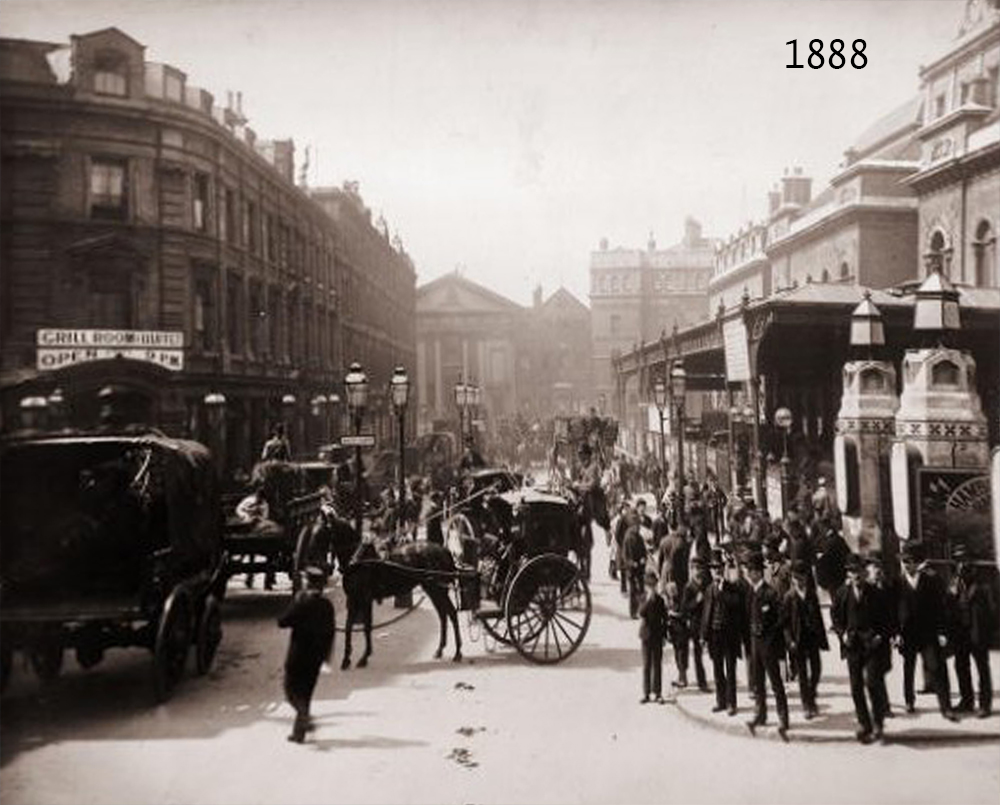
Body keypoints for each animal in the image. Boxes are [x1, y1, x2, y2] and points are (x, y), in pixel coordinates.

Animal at [296, 506, 464, 668]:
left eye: (320, 533)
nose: (307, 559)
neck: (357, 558)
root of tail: (444, 550)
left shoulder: (364, 599)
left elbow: (366, 627)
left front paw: (364, 657)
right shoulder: (353, 599)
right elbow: (349, 627)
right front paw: (346, 658)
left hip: (438, 589)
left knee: (451, 613)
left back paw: (457, 652)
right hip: (432, 589)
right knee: (443, 615)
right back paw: (440, 649)